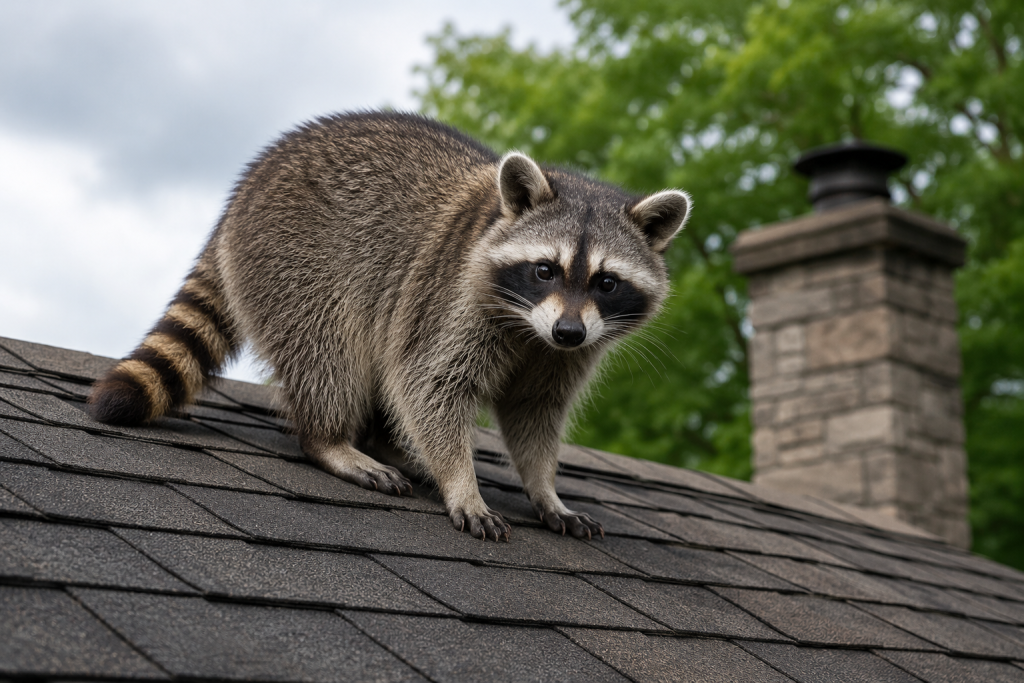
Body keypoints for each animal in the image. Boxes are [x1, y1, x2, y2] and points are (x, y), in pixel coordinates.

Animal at [89, 111, 690, 541]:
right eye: (546, 270)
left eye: (606, 283)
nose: (567, 332)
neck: (531, 326)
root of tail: (244, 192)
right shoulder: (452, 299)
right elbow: (429, 384)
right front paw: (462, 482)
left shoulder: (565, 350)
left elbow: (533, 413)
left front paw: (544, 488)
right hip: (294, 260)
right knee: (331, 350)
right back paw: (331, 440)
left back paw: (388, 444)